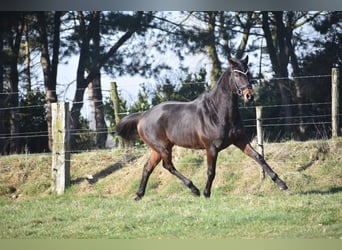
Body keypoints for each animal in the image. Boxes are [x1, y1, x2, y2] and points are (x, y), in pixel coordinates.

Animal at [116, 55, 288, 200]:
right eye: (237, 75)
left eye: (248, 72)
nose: (249, 95)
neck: (218, 112)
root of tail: (143, 115)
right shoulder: (211, 148)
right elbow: (211, 171)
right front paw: (206, 193)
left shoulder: (240, 140)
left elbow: (259, 157)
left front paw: (282, 184)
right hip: (163, 148)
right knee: (168, 166)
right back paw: (194, 189)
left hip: (158, 149)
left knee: (148, 167)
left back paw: (139, 195)